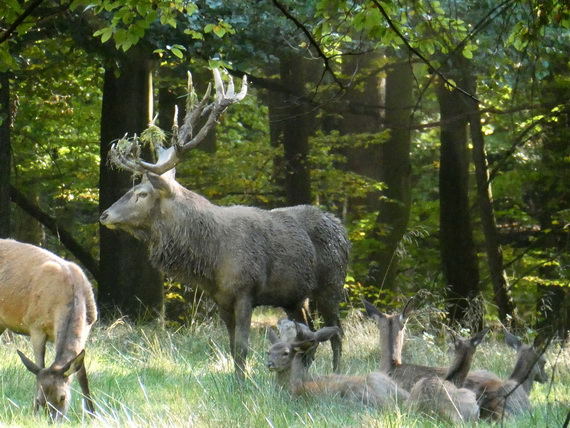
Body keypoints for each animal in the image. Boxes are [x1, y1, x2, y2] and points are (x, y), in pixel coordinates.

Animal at [0, 238, 97, 421]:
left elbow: (82, 375)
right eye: (40, 399)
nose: (52, 420)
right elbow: (39, 365)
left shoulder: (88, 328)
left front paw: (93, 414)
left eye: (62, 397)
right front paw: (33, 412)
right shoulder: (35, 324)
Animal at [99, 69, 350, 380]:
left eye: (142, 193)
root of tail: (341, 227)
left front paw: (244, 384)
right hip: (294, 297)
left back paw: (336, 373)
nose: (105, 215)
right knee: (309, 337)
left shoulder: (245, 290)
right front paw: (236, 380)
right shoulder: (219, 297)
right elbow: (231, 347)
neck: (211, 257)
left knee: (336, 332)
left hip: (332, 283)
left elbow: (242, 346)